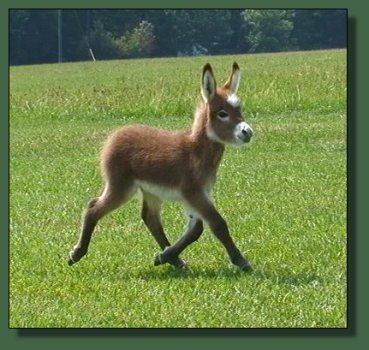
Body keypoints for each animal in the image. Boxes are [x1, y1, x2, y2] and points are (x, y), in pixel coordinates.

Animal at [67, 62, 253, 270]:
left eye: (240, 110)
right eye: (222, 114)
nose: (248, 132)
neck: (196, 151)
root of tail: (116, 134)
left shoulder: (197, 195)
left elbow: (195, 230)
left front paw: (163, 256)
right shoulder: (194, 193)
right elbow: (218, 224)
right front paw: (241, 261)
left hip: (150, 191)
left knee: (150, 219)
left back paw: (174, 260)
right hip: (122, 186)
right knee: (93, 209)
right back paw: (76, 254)